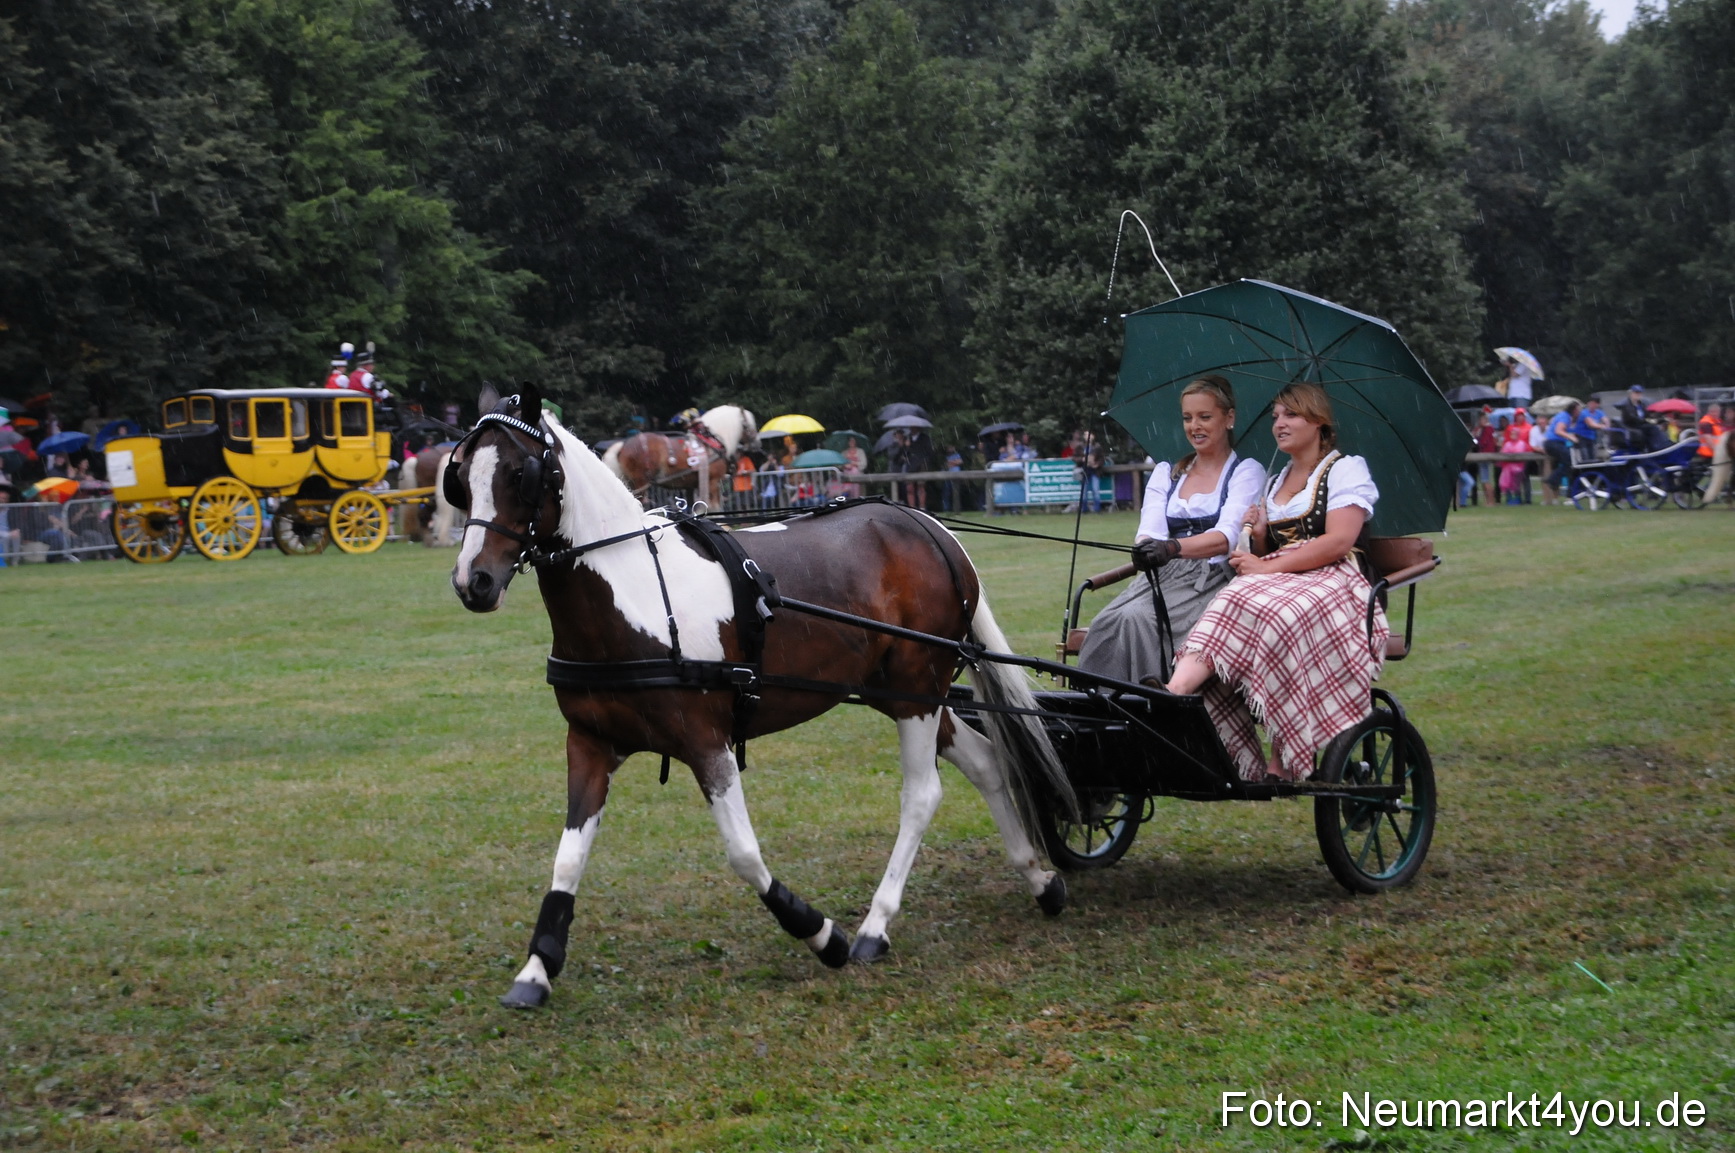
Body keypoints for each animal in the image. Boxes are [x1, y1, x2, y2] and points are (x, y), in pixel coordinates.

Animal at [605, 404, 758, 506]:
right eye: (750, 426)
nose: (756, 444)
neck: (712, 440)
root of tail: (623, 445)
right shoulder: (713, 482)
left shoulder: (693, 486)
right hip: (641, 483)